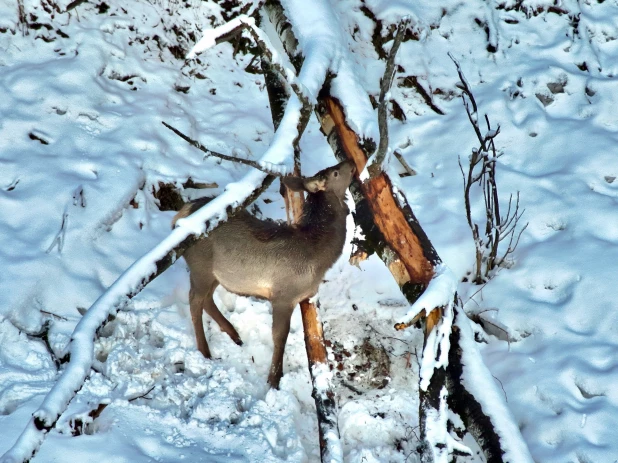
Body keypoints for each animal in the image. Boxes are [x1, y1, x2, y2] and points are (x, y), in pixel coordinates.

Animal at [172, 160, 356, 388]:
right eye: (336, 172)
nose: (351, 162)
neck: (319, 255)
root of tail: (179, 216)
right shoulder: (283, 296)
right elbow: (280, 335)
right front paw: (274, 379)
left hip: (215, 274)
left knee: (207, 299)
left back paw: (234, 334)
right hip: (200, 266)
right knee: (195, 301)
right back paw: (205, 351)